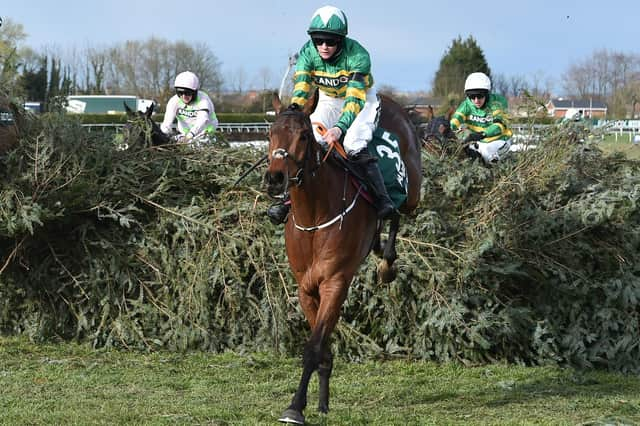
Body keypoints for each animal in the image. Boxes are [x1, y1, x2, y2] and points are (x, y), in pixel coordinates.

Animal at [262, 90, 422, 422]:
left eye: (303, 136)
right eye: (270, 134)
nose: (275, 178)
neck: (314, 215)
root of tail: (392, 101)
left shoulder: (335, 283)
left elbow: (313, 347)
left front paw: (295, 407)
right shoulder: (306, 288)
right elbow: (321, 344)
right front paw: (320, 402)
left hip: (412, 191)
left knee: (396, 210)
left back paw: (387, 260)